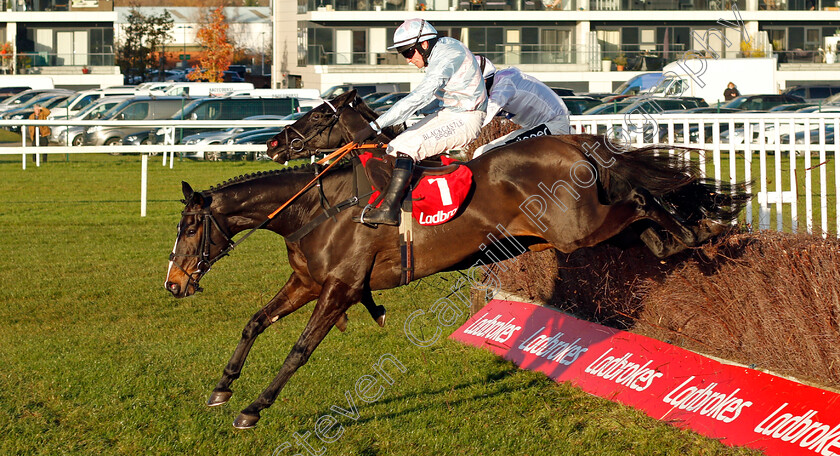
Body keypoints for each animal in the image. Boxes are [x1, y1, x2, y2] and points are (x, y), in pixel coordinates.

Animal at [166, 100, 748, 428]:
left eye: (190, 229)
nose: (173, 283)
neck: (318, 207)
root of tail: (577, 142)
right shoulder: (307, 281)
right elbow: (255, 322)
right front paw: (223, 388)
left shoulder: (341, 289)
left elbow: (299, 350)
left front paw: (253, 408)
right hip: (586, 229)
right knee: (644, 224)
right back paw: (683, 239)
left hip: (579, 227)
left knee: (643, 199)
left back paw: (701, 232)